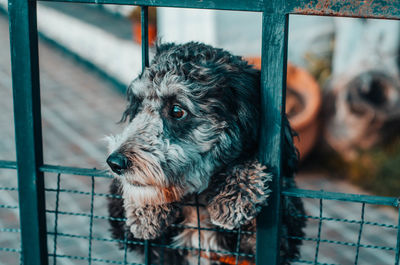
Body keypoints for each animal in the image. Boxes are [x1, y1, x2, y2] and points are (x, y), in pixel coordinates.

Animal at [106, 42, 306, 262]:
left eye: (177, 110)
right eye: (139, 105)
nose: (115, 163)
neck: (198, 205)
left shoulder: (284, 238)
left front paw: (236, 191)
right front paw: (145, 209)